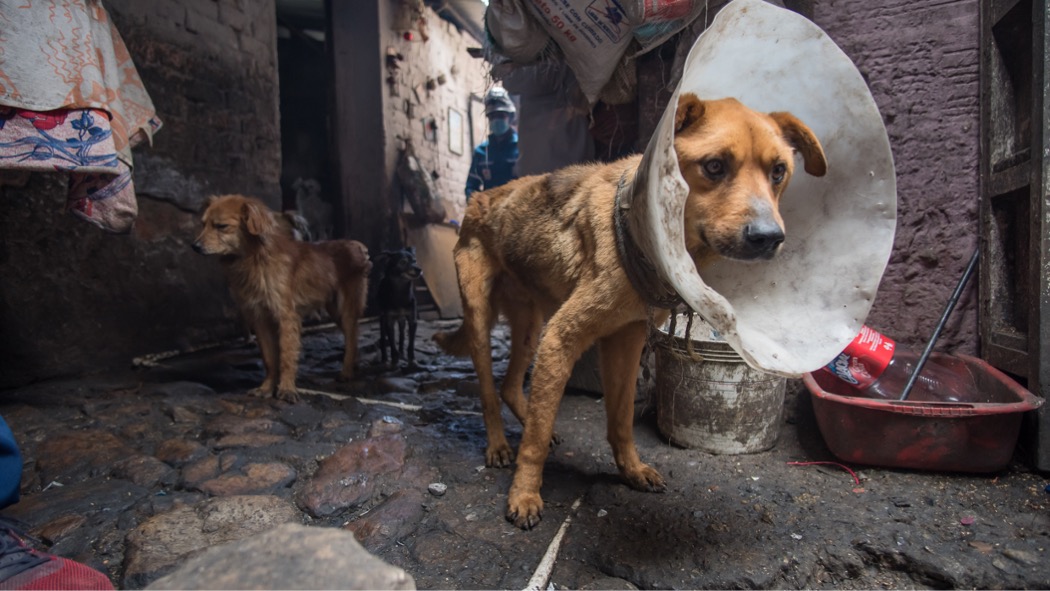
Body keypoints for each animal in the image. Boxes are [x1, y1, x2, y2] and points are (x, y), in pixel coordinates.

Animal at [194, 194, 373, 403]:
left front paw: (287, 389)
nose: (194, 246)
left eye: (221, 226)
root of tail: (358, 246)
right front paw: (266, 388)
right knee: (353, 335)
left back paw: (346, 372)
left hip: (346, 309)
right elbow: (270, 359)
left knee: (351, 337)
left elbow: (286, 356)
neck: (255, 259)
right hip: (335, 311)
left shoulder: (286, 317)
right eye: (203, 224)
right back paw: (354, 365)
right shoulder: (260, 318)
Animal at [434, 93, 827, 531]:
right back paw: (500, 445)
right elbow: (534, 442)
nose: (769, 238)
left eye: (778, 171)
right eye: (714, 166)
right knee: (489, 391)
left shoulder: (626, 339)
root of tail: (478, 198)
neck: (633, 229)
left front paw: (631, 470)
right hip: (481, 322)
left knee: (511, 385)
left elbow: (620, 419)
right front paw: (524, 494)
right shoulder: (563, 337)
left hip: (530, 326)